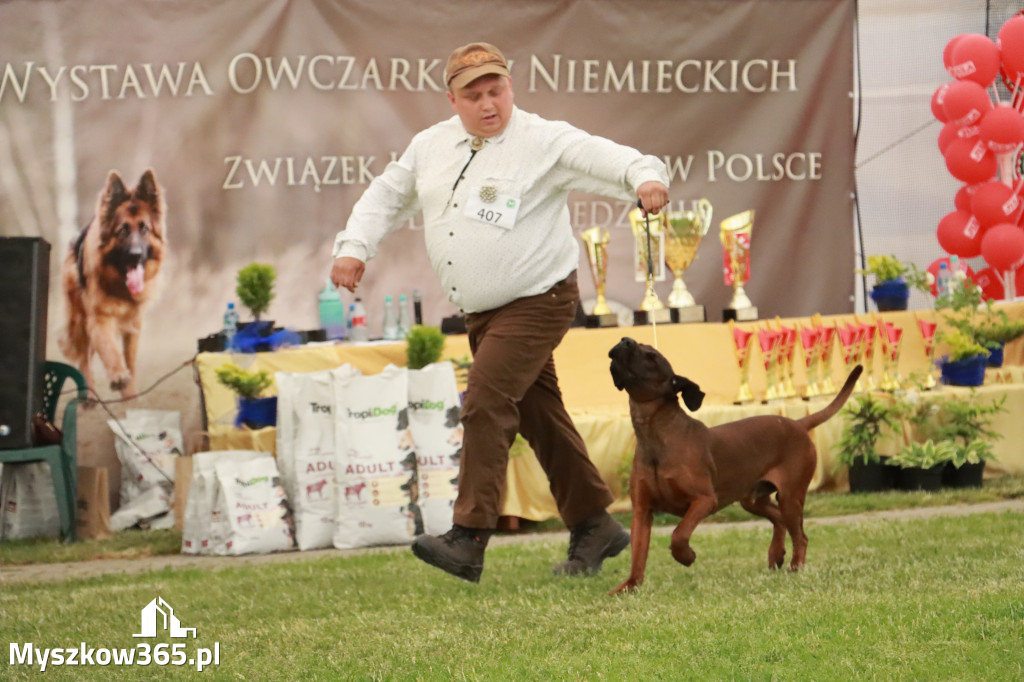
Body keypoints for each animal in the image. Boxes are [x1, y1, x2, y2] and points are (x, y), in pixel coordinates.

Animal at [59, 166, 164, 395]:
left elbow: (130, 363)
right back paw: (88, 394)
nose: (135, 255)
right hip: (80, 320)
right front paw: (118, 376)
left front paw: (130, 395)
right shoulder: (98, 319)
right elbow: (109, 349)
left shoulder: (133, 325)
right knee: (85, 358)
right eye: (123, 230)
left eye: (144, 229)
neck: (121, 286)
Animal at [610, 337, 860, 593]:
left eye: (651, 356)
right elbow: (637, 556)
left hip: (790, 496)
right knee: (778, 519)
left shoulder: (704, 500)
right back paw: (776, 554)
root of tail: (798, 424)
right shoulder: (641, 512)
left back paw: (795, 567)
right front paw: (629, 587)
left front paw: (686, 556)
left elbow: (678, 535)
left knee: (801, 536)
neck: (656, 436)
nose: (625, 340)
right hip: (752, 500)